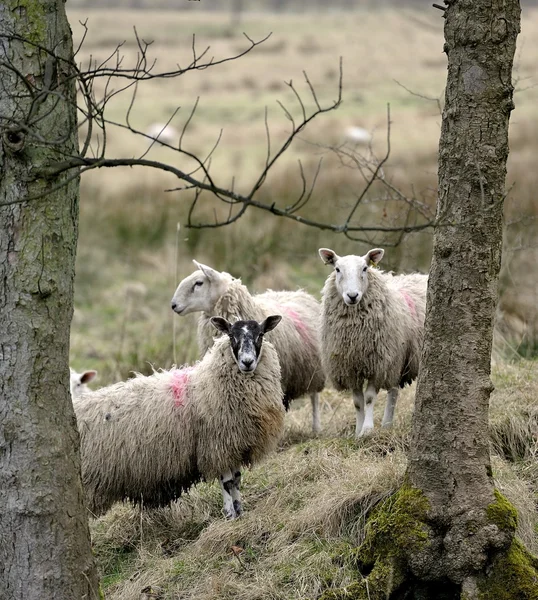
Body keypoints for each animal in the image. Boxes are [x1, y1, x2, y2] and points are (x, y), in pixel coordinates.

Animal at [75, 316, 286, 516]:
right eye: (231, 336)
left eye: (260, 335)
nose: (247, 362)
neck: (211, 380)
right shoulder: (216, 445)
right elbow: (227, 482)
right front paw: (230, 515)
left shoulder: (233, 445)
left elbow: (237, 480)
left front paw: (240, 511)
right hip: (87, 482)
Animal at [170, 260, 324, 434]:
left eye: (199, 283)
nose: (173, 305)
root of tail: (298, 292)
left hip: (314, 368)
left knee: (314, 396)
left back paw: (316, 427)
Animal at [316, 246, 426, 438]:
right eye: (337, 269)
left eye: (365, 268)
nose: (352, 296)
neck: (355, 332)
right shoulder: (350, 368)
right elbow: (357, 402)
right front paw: (357, 432)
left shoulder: (378, 363)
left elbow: (368, 398)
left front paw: (367, 430)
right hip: (396, 358)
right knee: (393, 390)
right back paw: (387, 424)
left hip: (393, 357)